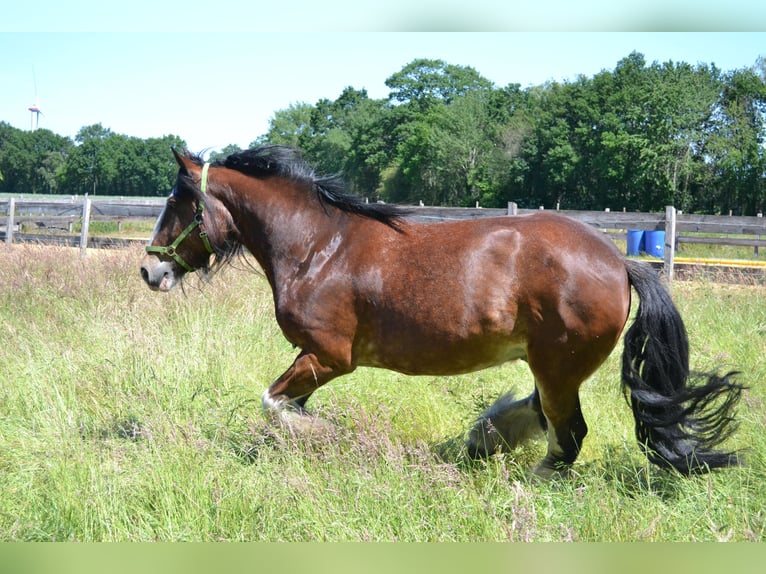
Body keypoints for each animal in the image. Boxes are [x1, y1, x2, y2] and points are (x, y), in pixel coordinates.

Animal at [138, 146, 744, 480]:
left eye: (177, 202)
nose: (150, 270)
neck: (317, 248)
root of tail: (620, 262)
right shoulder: (312, 359)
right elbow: (283, 407)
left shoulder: (329, 357)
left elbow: (273, 404)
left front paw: (321, 438)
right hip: (549, 366)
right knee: (545, 418)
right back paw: (483, 442)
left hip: (558, 366)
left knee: (568, 434)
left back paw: (525, 479)